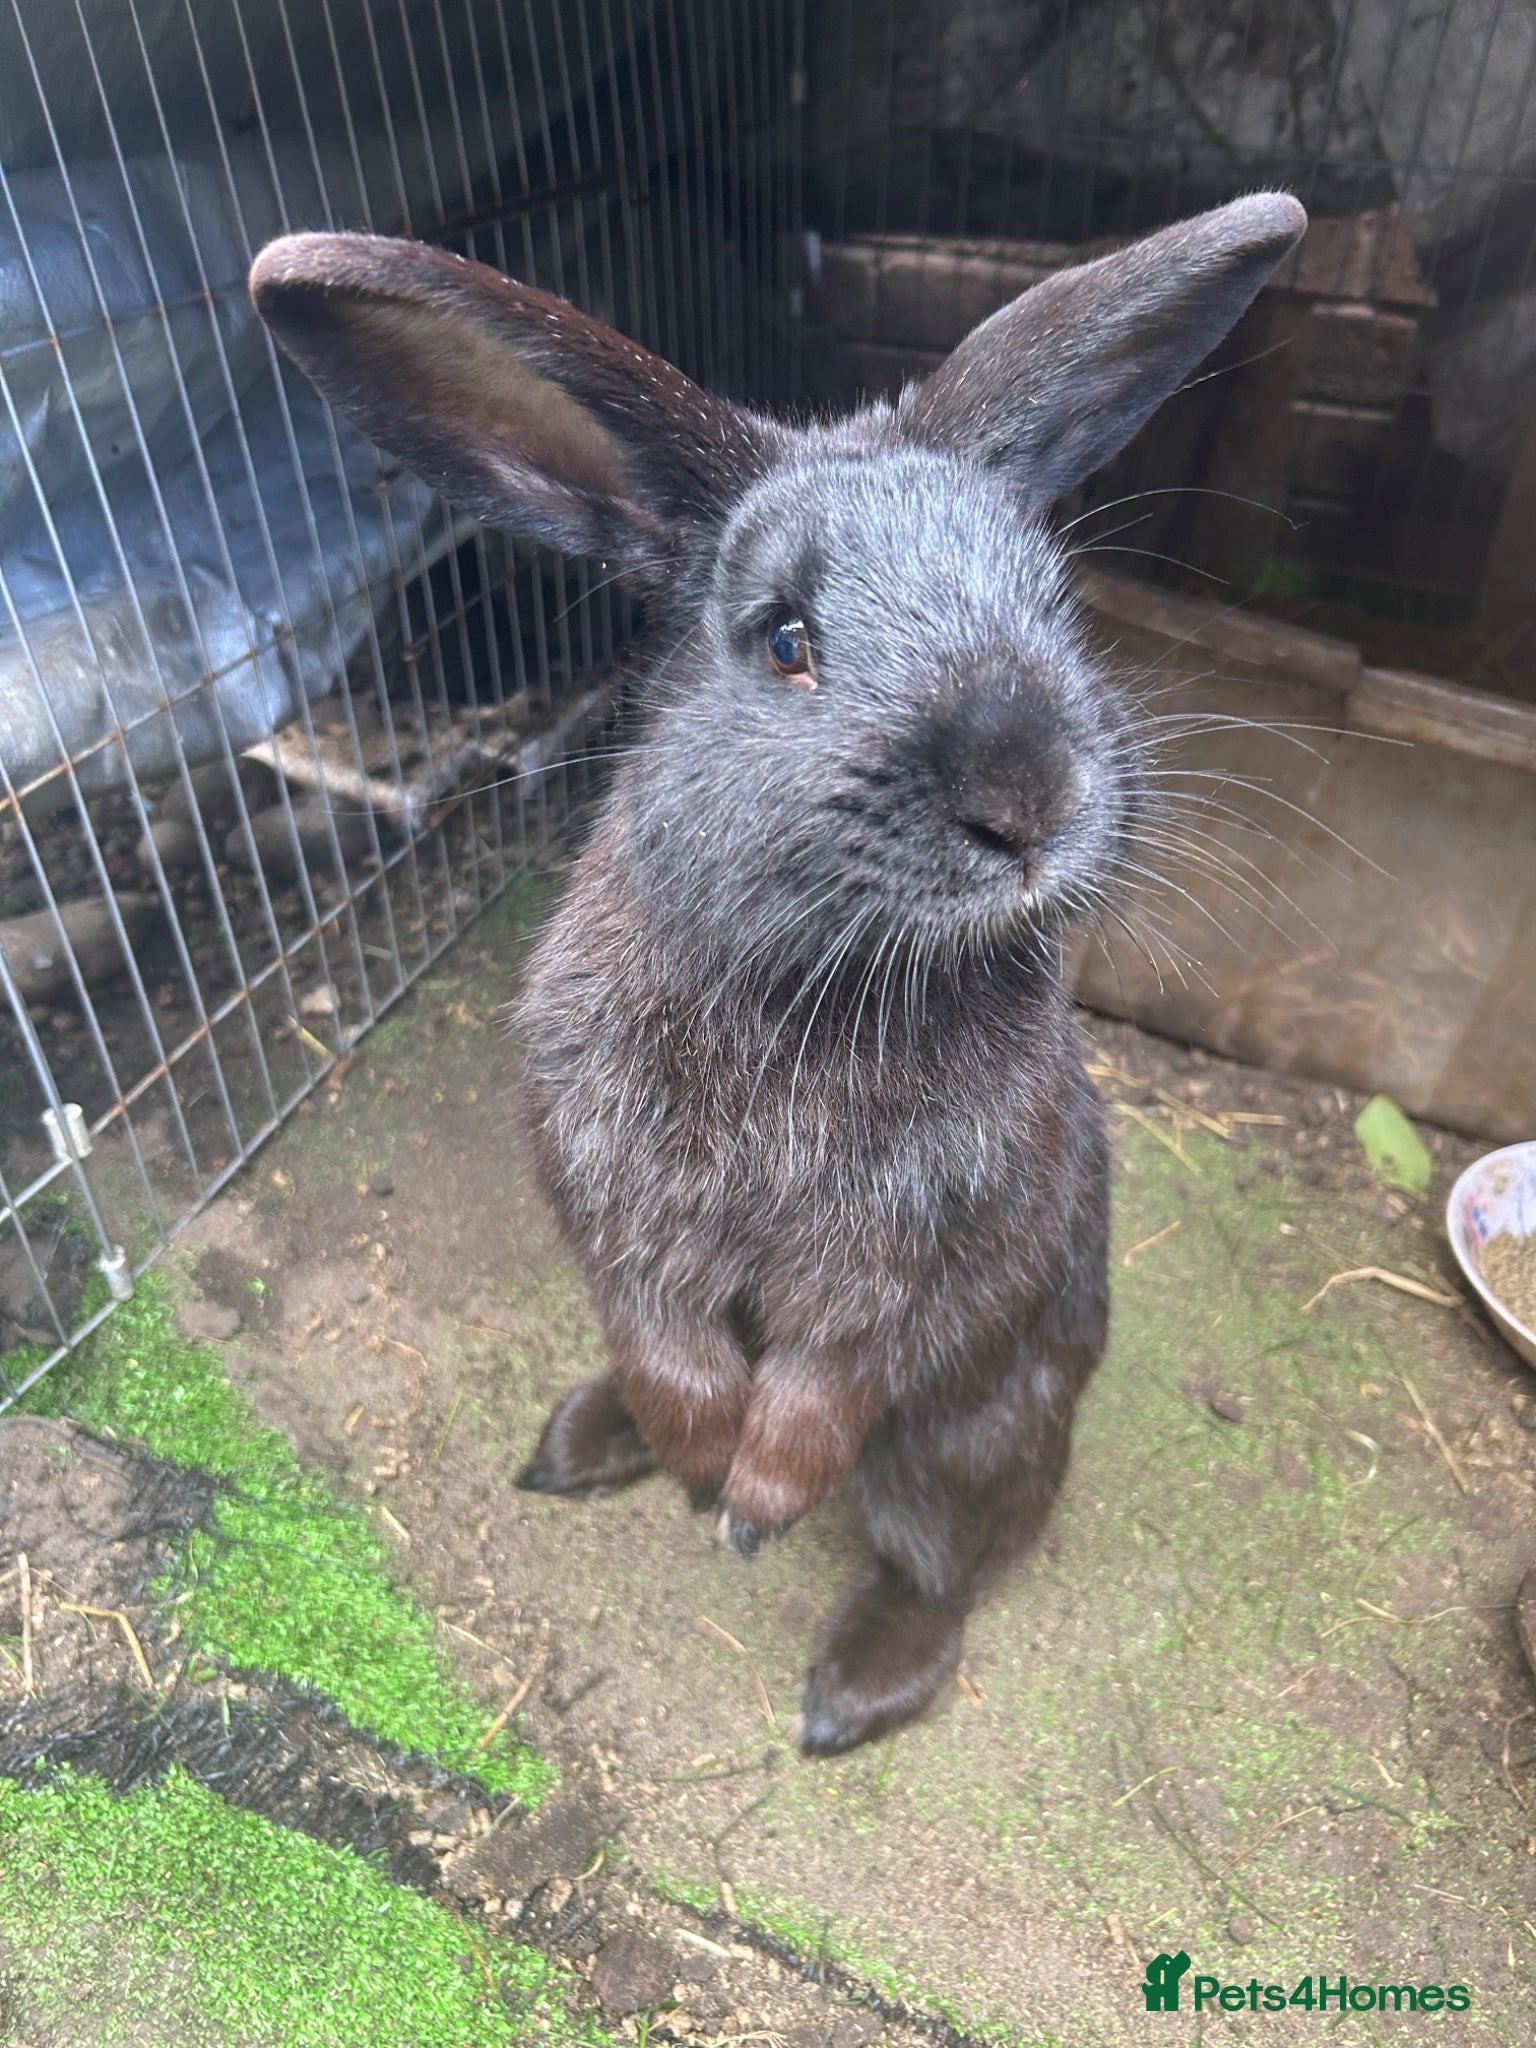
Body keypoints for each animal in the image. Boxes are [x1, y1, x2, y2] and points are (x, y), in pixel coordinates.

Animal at [251, 190, 1306, 1755]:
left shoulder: (909, 1251)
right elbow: (670, 1341)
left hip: (976, 1435)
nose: (1029, 800)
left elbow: (827, 1376)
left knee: (945, 1562)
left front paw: (751, 1507)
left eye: (1054, 602)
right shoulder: (613, 1195)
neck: (809, 979)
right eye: (786, 639)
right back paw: (585, 1447)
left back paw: (848, 1695)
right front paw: (703, 1472)